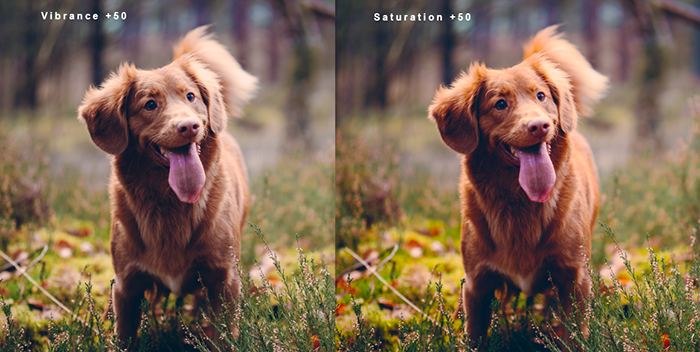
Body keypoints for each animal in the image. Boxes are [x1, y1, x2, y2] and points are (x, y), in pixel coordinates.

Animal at [78, 26, 258, 346]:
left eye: (191, 97)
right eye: (150, 104)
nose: (189, 126)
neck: (170, 202)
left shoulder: (224, 278)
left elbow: (224, 335)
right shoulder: (127, 285)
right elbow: (124, 336)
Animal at [426, 26, 608, 346]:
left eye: (541, 96)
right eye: (500, 104)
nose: (539, 126)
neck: (519, 201)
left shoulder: (574, 277)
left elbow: (575, 335)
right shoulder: (477, 284)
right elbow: (475, 336)